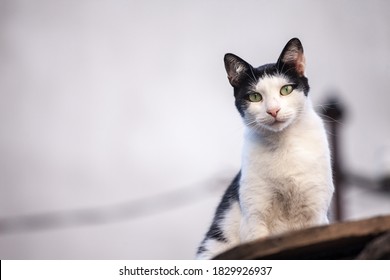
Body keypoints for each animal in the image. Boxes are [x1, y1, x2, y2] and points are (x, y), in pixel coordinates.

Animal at [197, 38, 334, 260]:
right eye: (254, 97)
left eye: (286, 90)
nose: (273, 110)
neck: (283, 144)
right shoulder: (254, 217)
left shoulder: (316, 213)